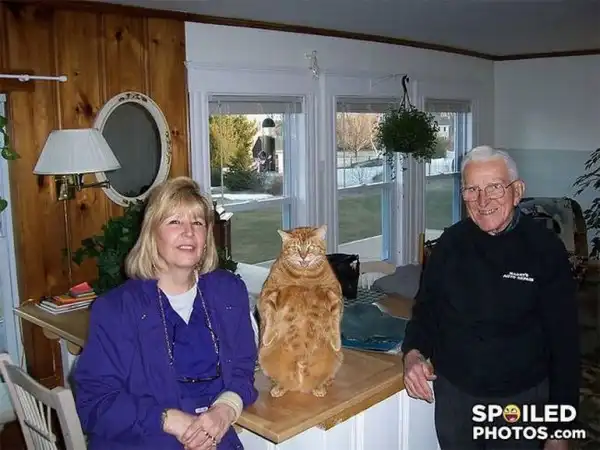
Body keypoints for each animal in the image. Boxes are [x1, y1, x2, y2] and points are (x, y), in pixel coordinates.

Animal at [257, 225, 344, 398]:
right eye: (295, 248)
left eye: (310, 247)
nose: (303, 257)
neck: (304, 278)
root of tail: (300, 386)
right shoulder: (270, 293)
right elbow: (269, 317)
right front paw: (267, 338)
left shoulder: (334, 294)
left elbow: (335, 321)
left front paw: (336, 342)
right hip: (262, 356)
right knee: (279, 381)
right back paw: (279, 388)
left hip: (337, 360)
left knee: (326, 379)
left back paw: (319, 388)